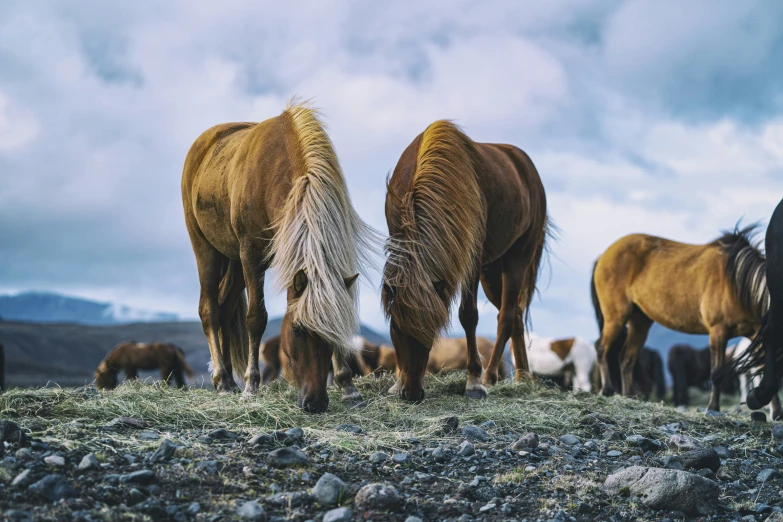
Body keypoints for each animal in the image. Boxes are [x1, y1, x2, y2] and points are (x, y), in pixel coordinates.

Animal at [182, 100, 376, 410]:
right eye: (296, 330)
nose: (315, 402)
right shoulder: (251, 254)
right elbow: (256, 318)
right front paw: (252, 385)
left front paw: (347, 386)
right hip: (206, 249)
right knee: (210, 309)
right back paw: (223, 380)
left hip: (233, 260)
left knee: (225, 308)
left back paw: (228, 380)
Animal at [382, 120, 548, 400]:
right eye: (396, 328)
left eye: (433, 329)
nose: (412, 393)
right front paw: (396, 382)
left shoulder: (472, 258)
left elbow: (468, 315)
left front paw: (474, 381)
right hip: (492, 272)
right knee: (515, 313)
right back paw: (523, 376)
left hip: (517, 259)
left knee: (506, 316)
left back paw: (490, 377)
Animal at [596, 225, 764, 412]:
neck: (737, 283)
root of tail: (605, 255)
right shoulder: (718, 330)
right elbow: (717, 373)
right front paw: (713, 408)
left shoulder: (756, 333)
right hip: (616, 316)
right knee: (602, 348)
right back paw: (607, 390)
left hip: (639, 322)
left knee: (626, 358)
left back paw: (628, 396)